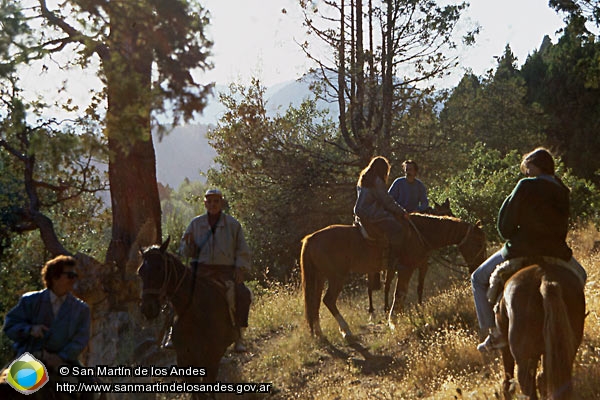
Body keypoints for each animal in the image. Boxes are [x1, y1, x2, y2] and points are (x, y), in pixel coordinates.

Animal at [138, 238, 237, 396]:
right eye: (140, 272)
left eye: (159, 268)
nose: (148, 308)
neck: (194, 314)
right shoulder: (185, 360)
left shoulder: (211, 358)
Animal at [300, 214, 488, 340]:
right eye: (478, 242)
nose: (478, 267)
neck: (419, 233)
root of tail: (311, 238)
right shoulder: (406, 269)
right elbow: (399, 294)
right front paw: (393, 320)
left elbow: (403, 294)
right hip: (336, 277)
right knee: (328, 300)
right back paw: (345, 330)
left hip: (320, 277)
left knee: (315, 302)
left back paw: (319, 332)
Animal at [494, 260, 584, 398]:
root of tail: (544, 278)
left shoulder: (505, 346)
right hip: (566, 346)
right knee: (549, 378)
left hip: (525, 359)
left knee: (528, 385)